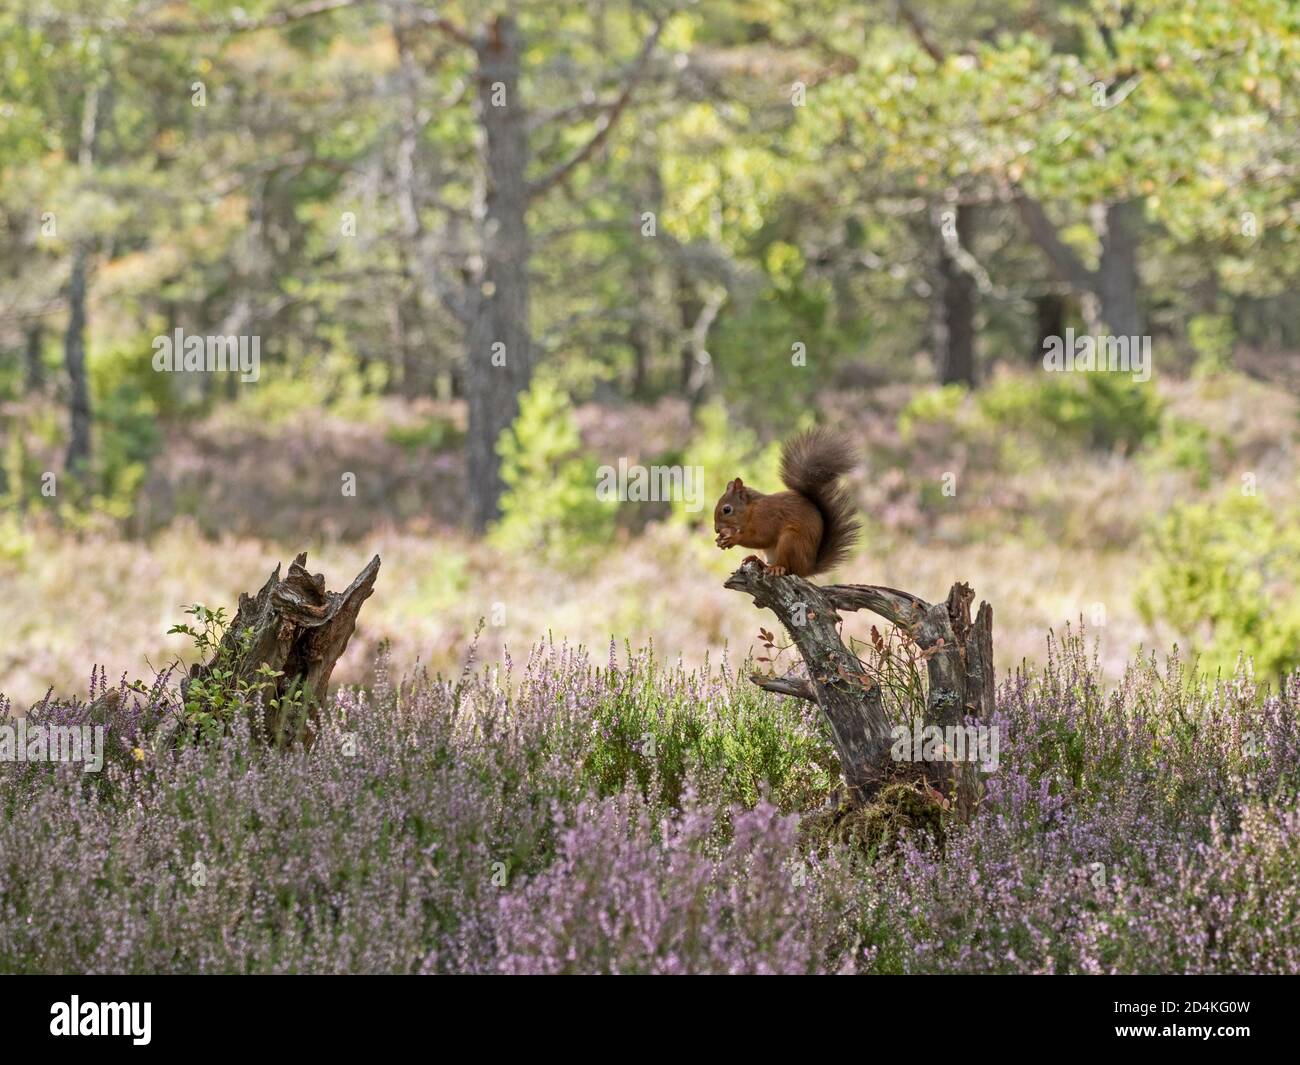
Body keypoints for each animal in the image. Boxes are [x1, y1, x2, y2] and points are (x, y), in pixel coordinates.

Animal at [712, 427, 862, 577]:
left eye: (727, 509)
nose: (717, 529)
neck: (751, 510)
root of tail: (808, 569)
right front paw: (723, 537)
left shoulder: (766, 518)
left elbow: (762, 537)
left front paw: (733, 539)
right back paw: (757, 560)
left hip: (790, 541)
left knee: (787, 567)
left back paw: (777, 567)